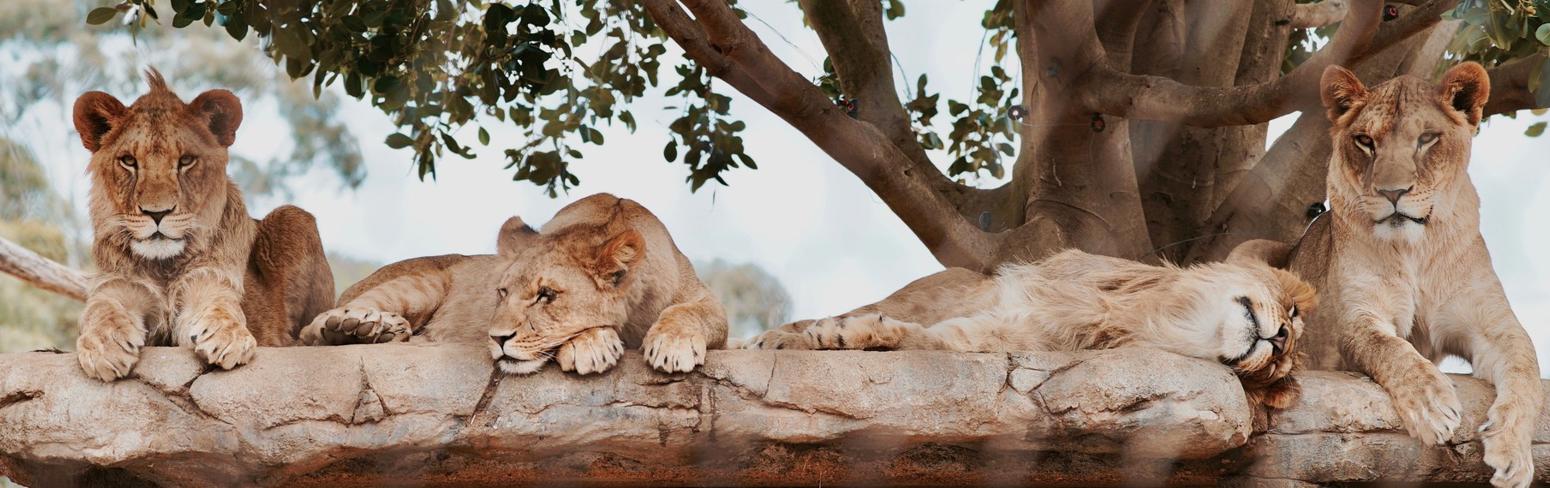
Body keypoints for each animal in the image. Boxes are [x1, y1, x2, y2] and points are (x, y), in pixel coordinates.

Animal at [71, 69, 335, 381]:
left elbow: (220, 308)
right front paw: (105, 345)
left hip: (293, 216)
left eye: (186, 160)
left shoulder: (210, 282)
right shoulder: (117, 287)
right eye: (128, 161)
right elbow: (102, 311)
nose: (157, 213)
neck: (163, 267)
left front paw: (227, 336)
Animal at [300, 193, 729, 375]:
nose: (497, 338)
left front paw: (672, 345)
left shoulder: (705, 300)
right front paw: (591, 345)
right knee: (311, 330)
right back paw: (358, 327)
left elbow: (690, 313)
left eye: (546, 296)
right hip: (421, 283)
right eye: (502, 292)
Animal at [747, 248, 1314, 409]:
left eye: (1276, 371)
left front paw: (851, 338)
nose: (1281, 341)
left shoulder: (1003, 337)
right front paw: (814, 336)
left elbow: (924, 339)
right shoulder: (992, 299)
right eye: (1292, 312)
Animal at [1233, 62, 1541, 488]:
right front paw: (1432, 406)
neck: (1416, 249)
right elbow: (1393, 349)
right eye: (1365, 141)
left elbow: (1527, 369)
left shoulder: (1492, 324)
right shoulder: (1358, 319)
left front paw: (1513, 453)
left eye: (1426, 139)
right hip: (1250, 251)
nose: (1393, 193)